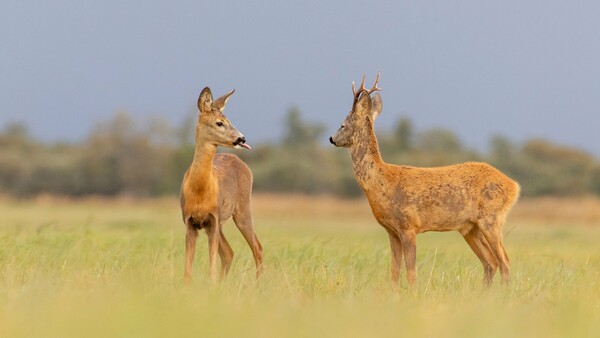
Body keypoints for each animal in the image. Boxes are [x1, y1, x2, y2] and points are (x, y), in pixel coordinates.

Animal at [179, 86, 262, 282]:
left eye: (229, 120)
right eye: (219, 123)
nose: (242, 138)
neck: (200, 191)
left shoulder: (213, 219)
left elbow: (212, 267)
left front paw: (212, 284)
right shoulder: (190, 222)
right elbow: (187, 270)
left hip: (243, 209)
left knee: (257, 248)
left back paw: (258, 284)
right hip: (224, 222)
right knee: (229, 253)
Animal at [328, 75, 520, 286]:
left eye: (343, 124)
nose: (331, 138)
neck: (382, 181)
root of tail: (514, 185)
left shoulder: (409, 226)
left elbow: (411, 271)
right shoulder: (392, 231)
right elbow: (394, 271)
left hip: (492, 219)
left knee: (505, 261)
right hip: (470, 228)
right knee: (490, 262)